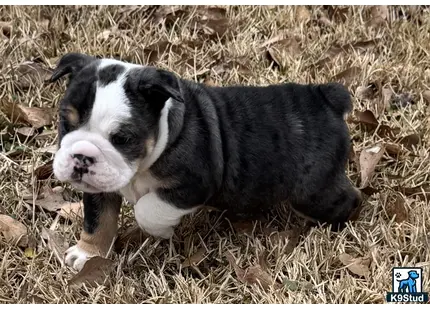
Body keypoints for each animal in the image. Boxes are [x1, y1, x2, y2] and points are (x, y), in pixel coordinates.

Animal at [48, 53, 362, 272]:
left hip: (313, 191)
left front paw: (161, 231)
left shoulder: (193, 185)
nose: (82, 156)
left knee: (348, 200)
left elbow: (147, 209)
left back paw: (337, 227)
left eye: (122, 138)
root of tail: (326, 98)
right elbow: (97, 219)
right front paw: (88, 253)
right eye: (66, 122)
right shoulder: (98, 187)